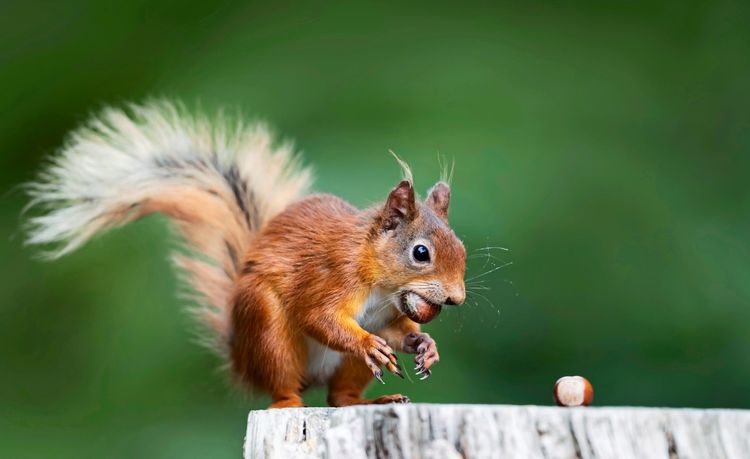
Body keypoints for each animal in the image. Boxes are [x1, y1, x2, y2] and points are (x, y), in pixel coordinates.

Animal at [25, 101, 467, 408]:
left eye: (461, 249)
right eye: (421, 252)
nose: (456, 298)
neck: (380, 283)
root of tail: (242, 361)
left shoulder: (384, 317)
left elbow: (396, 333)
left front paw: (425, 345)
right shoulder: (329, 277)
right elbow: (317, 316)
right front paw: (365, 342)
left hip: (338, 369)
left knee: (339, 398)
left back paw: (374, 400)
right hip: (267, 330)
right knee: (284, 387)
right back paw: (289, 402)